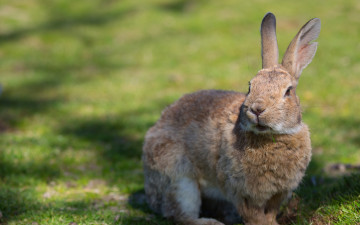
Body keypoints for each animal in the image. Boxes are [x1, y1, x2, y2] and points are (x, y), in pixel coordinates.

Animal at [142, 12, 320, 225]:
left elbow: (269, 213)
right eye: (250, 86)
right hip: (179, 179)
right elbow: (255, 216)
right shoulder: (241, 192)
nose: (257, 109)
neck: (271, 138)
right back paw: (211, 222)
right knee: (180, 214)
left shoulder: (278, 194)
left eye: (288, 91)